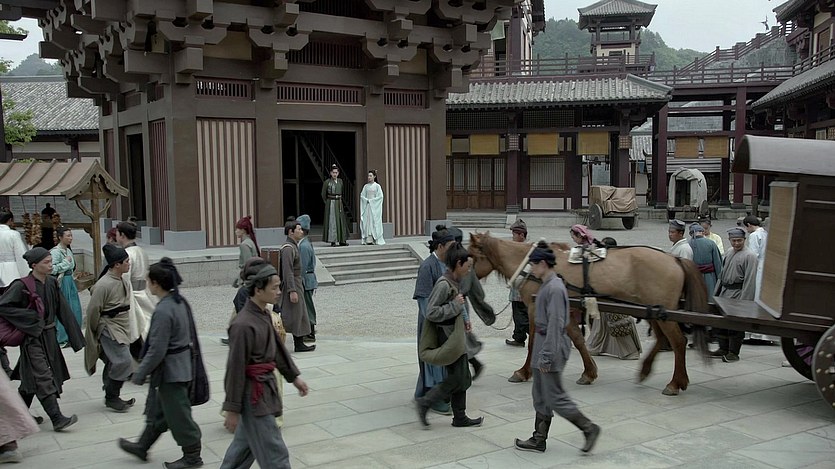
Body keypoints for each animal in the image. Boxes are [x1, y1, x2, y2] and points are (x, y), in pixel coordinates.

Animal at [467, 232, 710, 396]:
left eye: (468, 256)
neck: (530, 264)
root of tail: (675, 258)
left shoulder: (535, 307)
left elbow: (534, 342)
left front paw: (523, 372)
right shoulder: (564, 308)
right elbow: (577, 338)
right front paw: (589, 373)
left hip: (663, 312)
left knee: (677, 341)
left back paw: (675, 382)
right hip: (655, 311)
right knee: (662, 339)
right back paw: (647, 371)